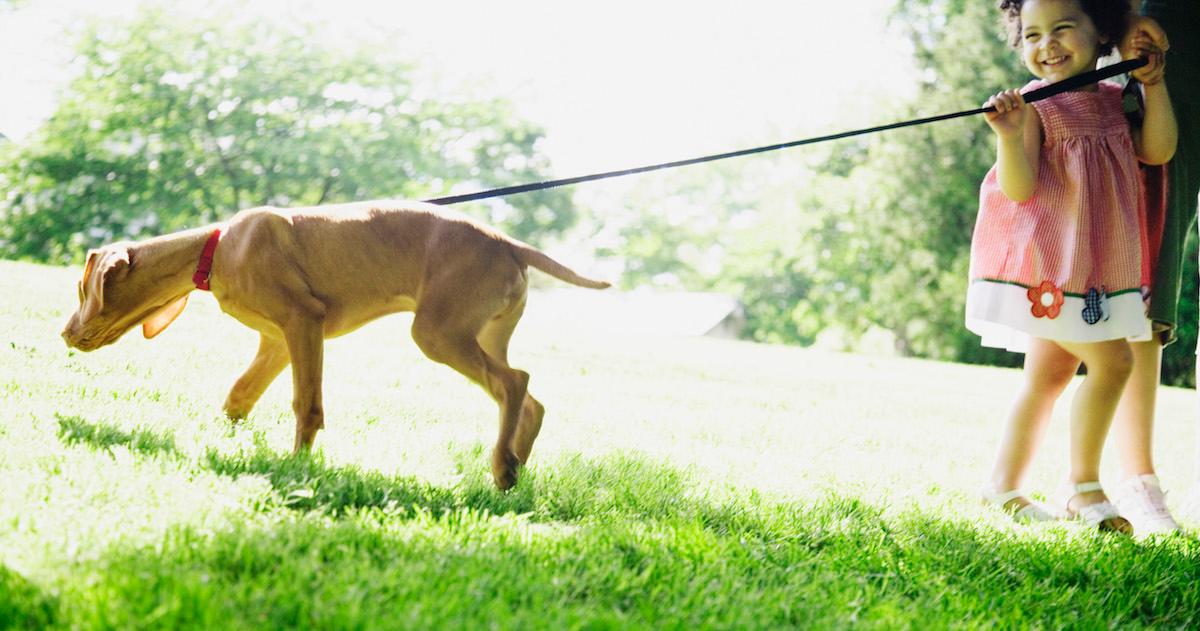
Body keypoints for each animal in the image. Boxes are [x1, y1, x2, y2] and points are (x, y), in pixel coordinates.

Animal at [62, 200, 609, 491]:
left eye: (82, 288)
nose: (64, 333)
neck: (216, 250)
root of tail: (508, 242)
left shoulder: (303, 321)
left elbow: (307, 404)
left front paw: (296, 467)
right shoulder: (276, 341)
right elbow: (239, 397)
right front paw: (226, 444)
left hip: (438, 333)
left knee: (513, 383)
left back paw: (502, 466)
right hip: (485, 333)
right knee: (527, 398)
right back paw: (515, 464)